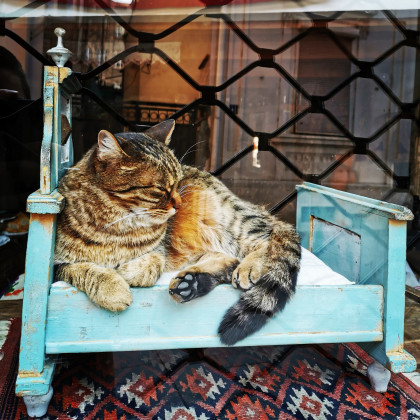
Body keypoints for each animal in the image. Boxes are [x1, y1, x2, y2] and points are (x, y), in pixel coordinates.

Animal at [54, 119, 301, 345]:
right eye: (159, 189)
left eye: (178, 182)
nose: (180, 204)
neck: (118, 224)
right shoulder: (56, 265)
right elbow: (86, 270)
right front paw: (113, 288)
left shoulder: (159, 248)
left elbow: (152, 261)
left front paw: (130, 272)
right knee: (227, 259)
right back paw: (191, 283)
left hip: (232, 218)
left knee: (266, 237)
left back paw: (246, 267)